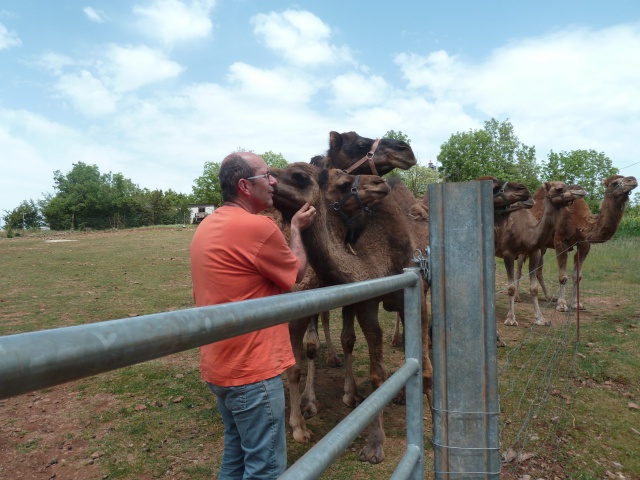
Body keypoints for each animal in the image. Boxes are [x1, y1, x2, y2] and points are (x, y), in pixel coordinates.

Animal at [272, 163, 432, 464]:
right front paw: (375, 444)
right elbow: (377, 374)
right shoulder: (366, 303)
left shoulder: (416, 292)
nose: (379, 182)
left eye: (299, 177)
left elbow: (425, 364)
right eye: (341, 183)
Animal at [492, 182, 588, 328]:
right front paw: (511, 319)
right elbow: (511, 287)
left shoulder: (534, 252)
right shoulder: (508, 253)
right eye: (558, 188)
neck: (526, 232)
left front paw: (540, 319)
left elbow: (534, 288)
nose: (580, 189)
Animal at [516, 174, 636, 314]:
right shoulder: (560, 242)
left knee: (538, 269)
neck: (580, 222)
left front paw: (576, 304)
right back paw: (517, 297)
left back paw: (549, 296)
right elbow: (563, 276)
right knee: (519, 267)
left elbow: (577, 276)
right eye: (615, 183)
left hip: (543, 246)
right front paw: (562, 305)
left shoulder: (584, 245)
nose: (633, 179)